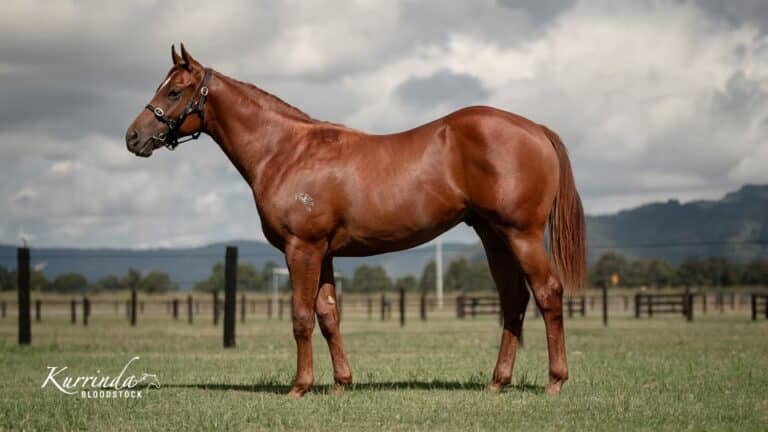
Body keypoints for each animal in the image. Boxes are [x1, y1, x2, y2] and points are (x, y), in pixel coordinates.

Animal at [126, 44, 586, 397]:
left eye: (175, 91)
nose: (133, 137)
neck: (286, 151)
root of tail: (535, 129)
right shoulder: (324, 254)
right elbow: (328, 316)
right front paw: (341, 384)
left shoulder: (302, 248)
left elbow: (300, 316)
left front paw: (300, 386)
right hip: (494, 237)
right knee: (514, 299)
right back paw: (497, 382)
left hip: (521, 235)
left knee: (547, 293)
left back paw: (555, 382)